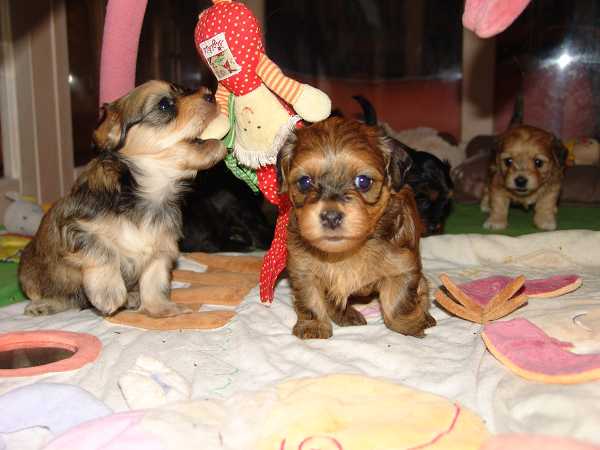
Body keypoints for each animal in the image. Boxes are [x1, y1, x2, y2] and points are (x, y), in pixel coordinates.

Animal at [18, 81, 226, 317]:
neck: (149, 191)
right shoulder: (76, 226)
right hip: (30, 276)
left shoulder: (162, 246)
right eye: (164, 105)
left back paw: (133, 297)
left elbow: (155, 279)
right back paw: (44, 304)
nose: (210, 95)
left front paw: (160, 307)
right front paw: (109, 293)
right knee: (65, 296)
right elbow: (103, 251)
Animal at [278, 117, 436, 339]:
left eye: (363, 181)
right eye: (304, 182)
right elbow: (310, 299)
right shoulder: (302, 268)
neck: (348, 250)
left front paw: (411, 325)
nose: (331, 216)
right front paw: (313, 326)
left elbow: (397, 304)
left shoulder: (403, 266)